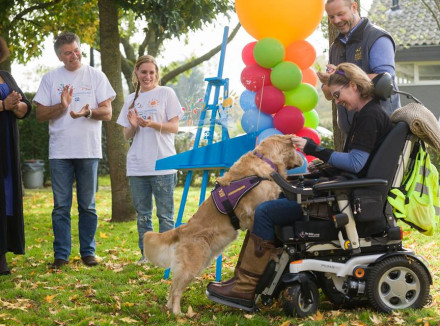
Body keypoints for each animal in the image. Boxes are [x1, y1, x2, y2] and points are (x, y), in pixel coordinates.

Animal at [143, 134, 304, 314]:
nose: (304, 158)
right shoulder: (253, 213)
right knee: (176, 289)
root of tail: (182, 229)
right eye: (297, 148)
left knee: (172, 286)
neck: (266, 159)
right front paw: (275, 251)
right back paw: (178, 313)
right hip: (193, 263)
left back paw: (170, 309)